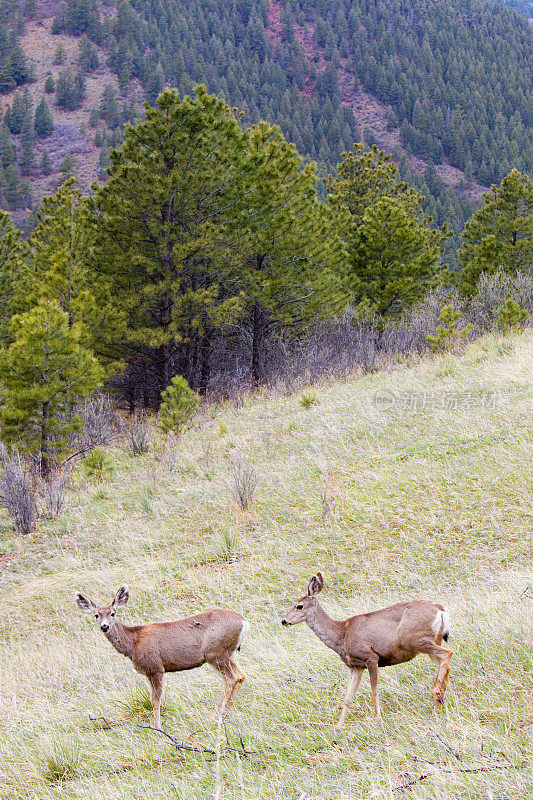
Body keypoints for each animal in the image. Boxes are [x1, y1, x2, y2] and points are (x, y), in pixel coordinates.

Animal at [75, 584, 249, 728]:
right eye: (96, 615)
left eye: (113, 613)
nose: (105, 627)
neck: (134, 644)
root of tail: (244, 622)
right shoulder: (149, 672)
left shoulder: (156, 667)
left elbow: (155, 700)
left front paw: (157, 728)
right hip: (227, 654)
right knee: (241, 675)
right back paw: (225, 714)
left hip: (215, 653)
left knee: (231, 679)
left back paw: (216, 717)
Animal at [280, 572, 450, 728]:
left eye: (299, 606)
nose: (284, 620)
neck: (341, 635)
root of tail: (440, 609)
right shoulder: (355, 667)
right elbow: (347, 697)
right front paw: (339, 725)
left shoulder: (371, 657)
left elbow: (374, 689)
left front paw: (378, 718)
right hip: (430, 641)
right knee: (444, 663)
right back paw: (439, 699)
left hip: (415, 639)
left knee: (447, 653)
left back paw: (436, 693)